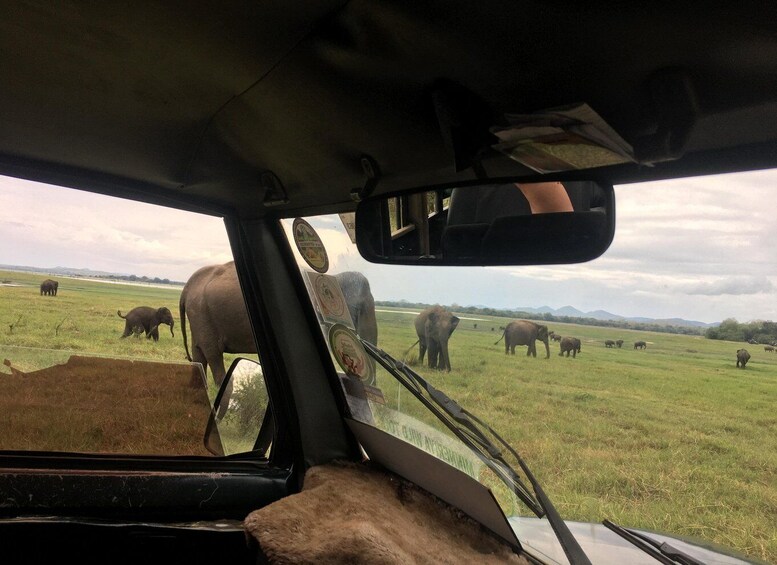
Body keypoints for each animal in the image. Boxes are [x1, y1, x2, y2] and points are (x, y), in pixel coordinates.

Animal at [180, 262, 378, 388]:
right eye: (358, 309)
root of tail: (187, 287)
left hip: (199, 317)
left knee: (199, 356)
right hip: (202, 315)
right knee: (213, 354)